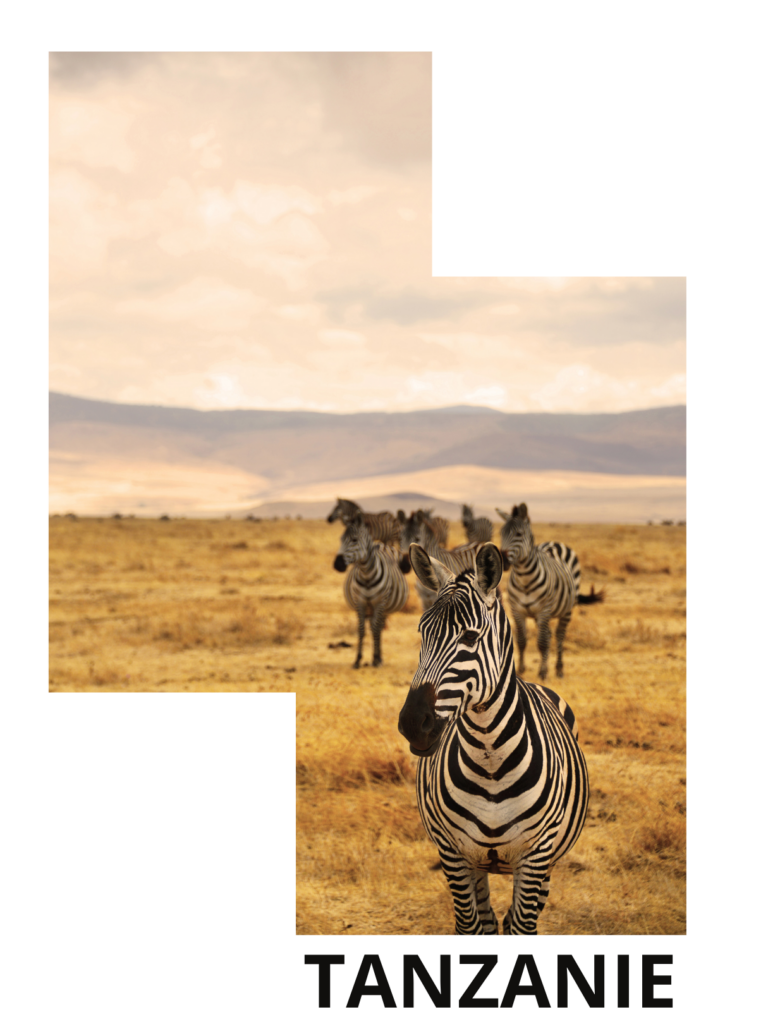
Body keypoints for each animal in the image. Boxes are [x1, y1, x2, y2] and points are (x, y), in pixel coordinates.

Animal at [333, 511, 409, 668]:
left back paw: (378, 658)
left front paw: (374, 658)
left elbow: (375, 629)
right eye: (341, 539)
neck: (366, 574)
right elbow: (361, 629)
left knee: (378, 627)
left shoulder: (379, 602)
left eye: (354, 540)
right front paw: (358, 659)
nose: (337, 564)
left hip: (384, 605)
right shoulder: (360, 602)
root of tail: (382, 544)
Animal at [398, 542, 589, 936]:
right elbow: (471, 926)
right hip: (477, 864)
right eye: (422, 631)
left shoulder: (536, 856)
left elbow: (521, 925)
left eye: (470, 637)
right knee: (488, 919)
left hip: (546, 862)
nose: (412, 723)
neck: (490, 761)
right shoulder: (453, 853)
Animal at [496, 504, 604, 680]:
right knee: (548, 634)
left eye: (519, 534)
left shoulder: (543, 610)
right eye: (501, 533)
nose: (503, 561)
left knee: (559, 635)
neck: (524, 579)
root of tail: (555, 542)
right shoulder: (517, 610)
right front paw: (520, 669)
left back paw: (559, 669)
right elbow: (521, 640)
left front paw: (543, 672)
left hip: (566, 609)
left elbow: (542, 642)